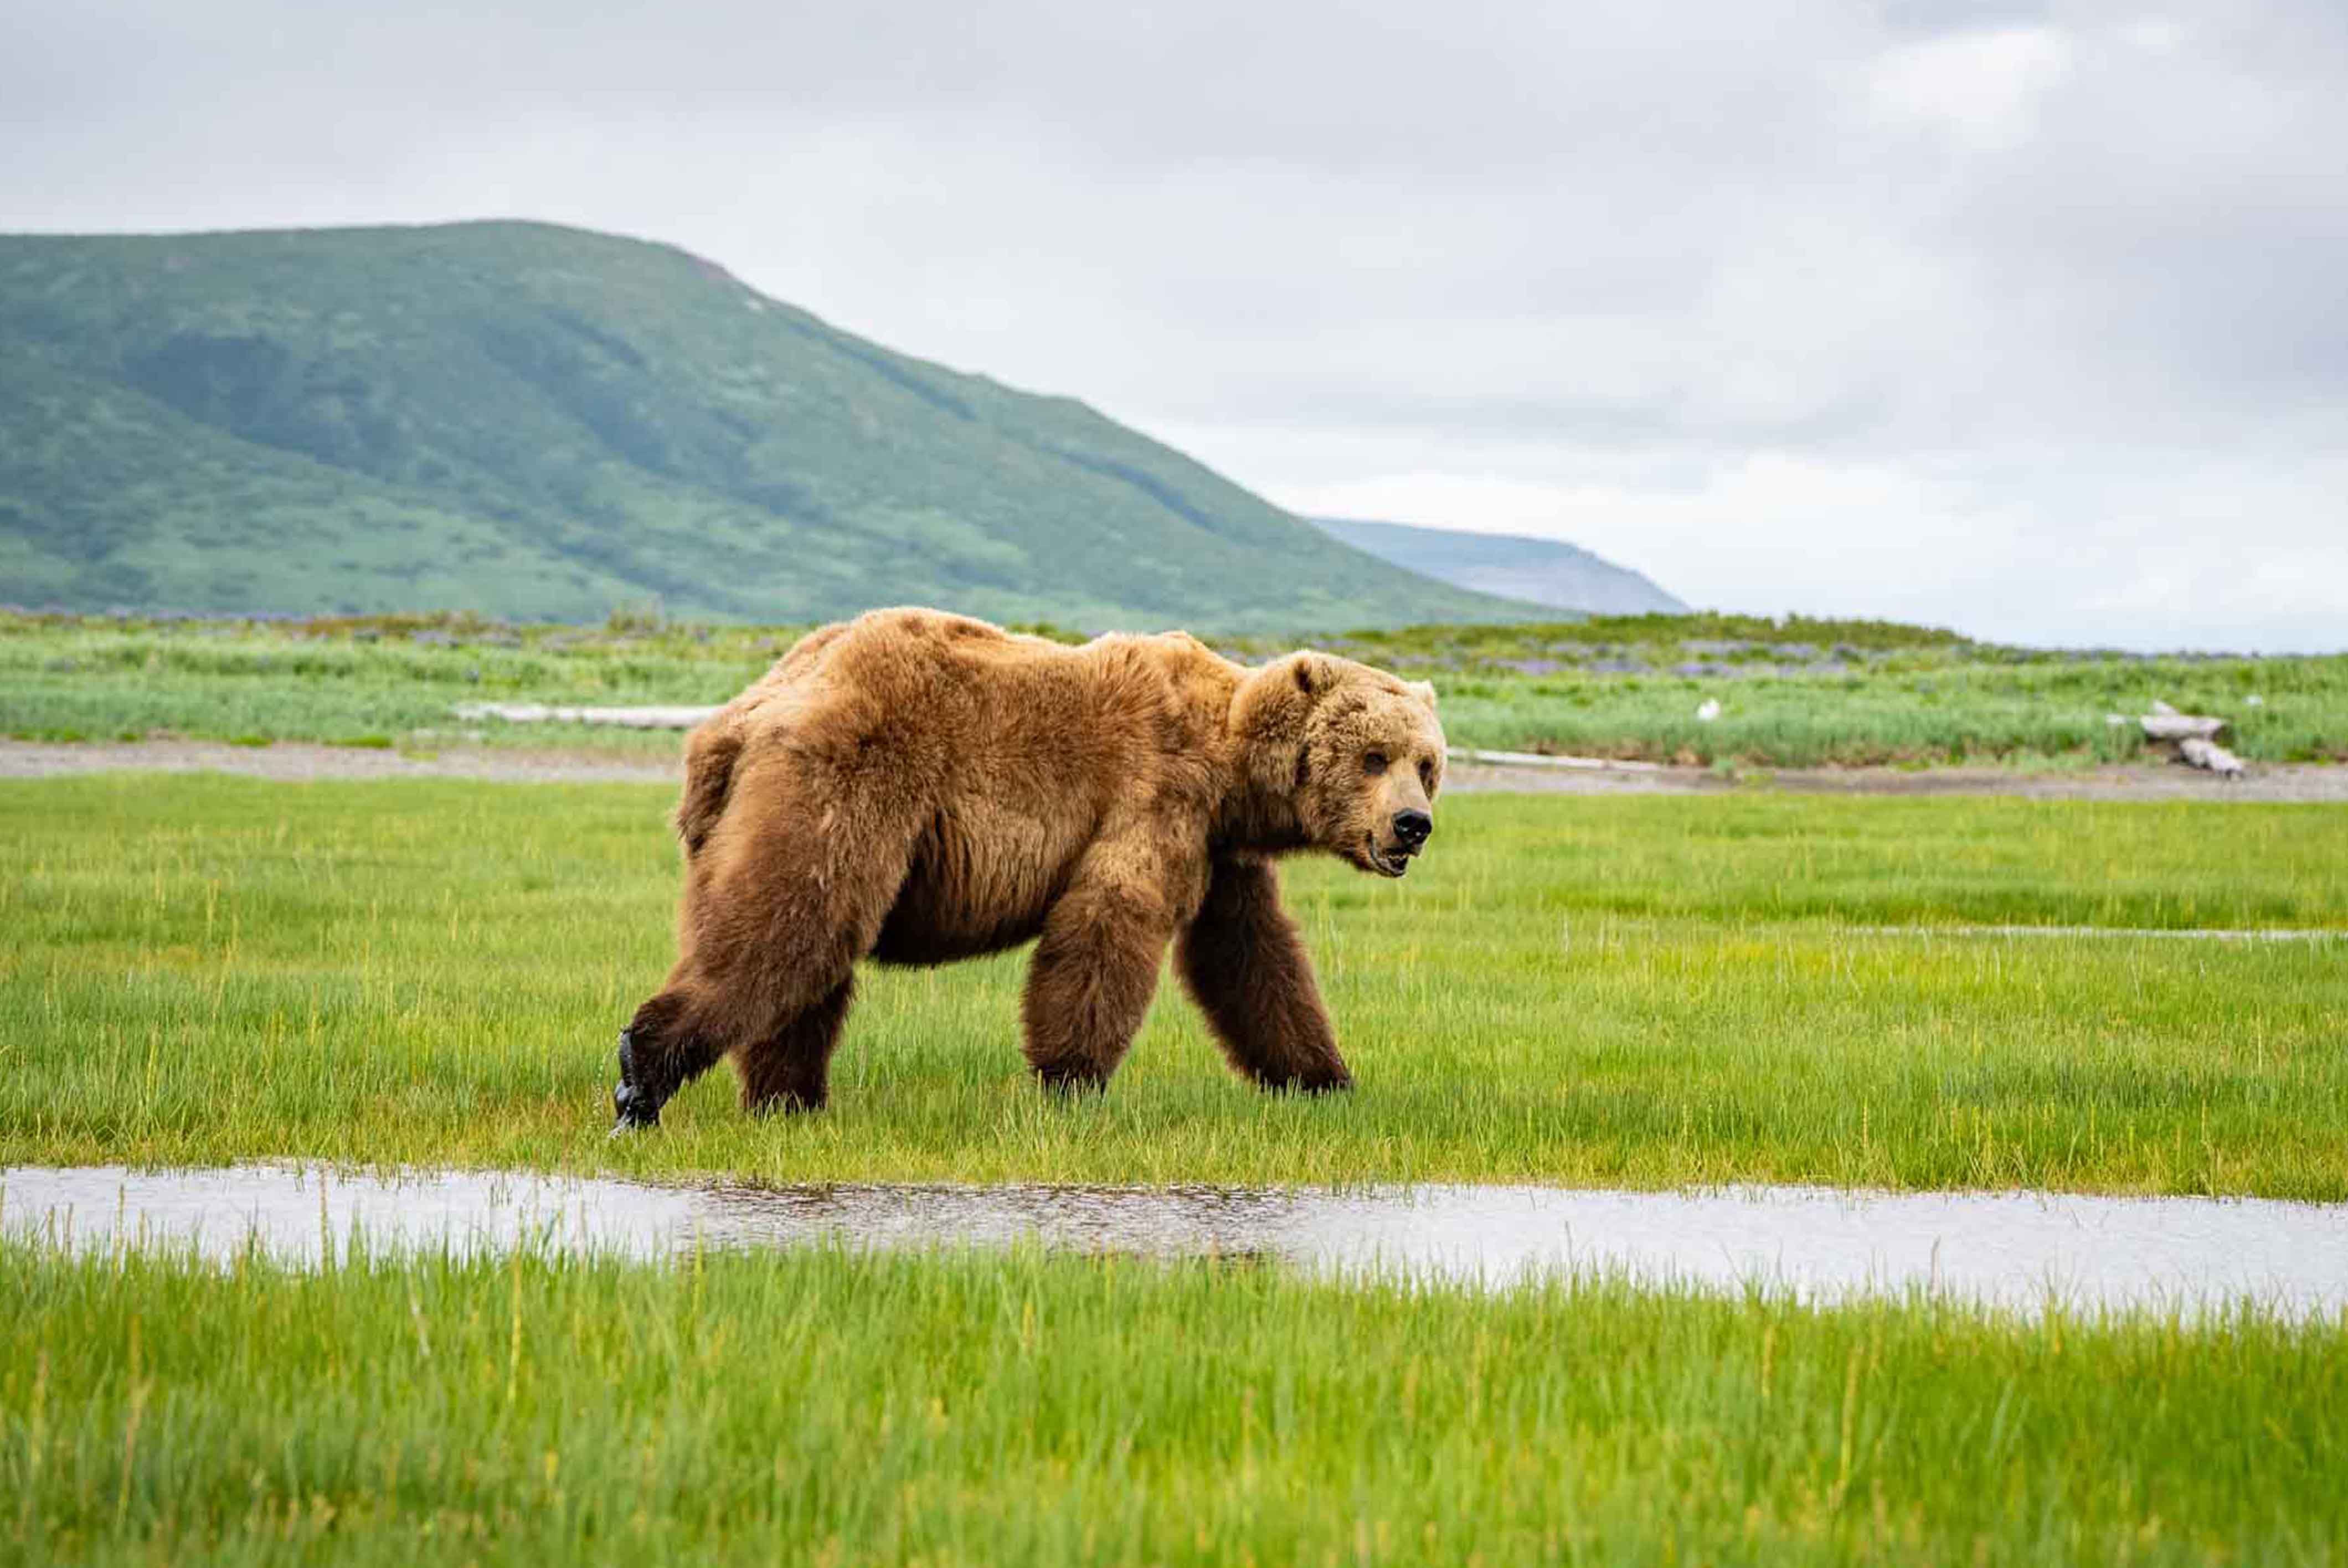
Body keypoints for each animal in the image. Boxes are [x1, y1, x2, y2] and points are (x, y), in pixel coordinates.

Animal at [610, 606, 1445, 1130]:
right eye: (1374, 757)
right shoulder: (1153, 793)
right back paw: (642, 1074)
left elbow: (1251, 957)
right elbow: (1106, 928)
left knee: (805, 964)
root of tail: (740, 714)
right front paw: (1072, 1085)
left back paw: (788, 1098)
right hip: (848, 780)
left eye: (1426, 764)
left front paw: (1325, 1079)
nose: (1413, 825)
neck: (1231, 762)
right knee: (796, 924)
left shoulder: (1220, 851)